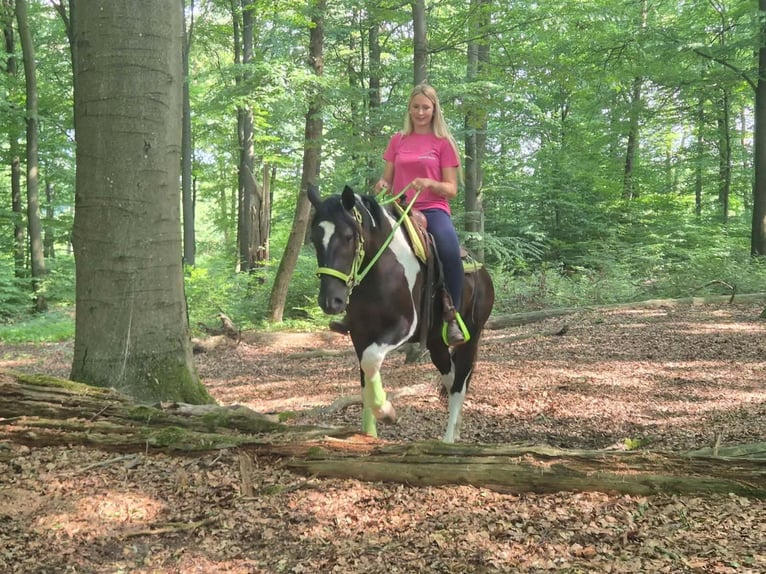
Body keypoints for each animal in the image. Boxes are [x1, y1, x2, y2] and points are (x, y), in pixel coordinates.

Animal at [307, 184, 494, 443]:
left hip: (472, 337)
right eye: (314, 239)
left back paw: (448, 440)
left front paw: (386, 412)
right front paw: (369, 434)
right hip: (436, 342)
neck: (381, 270)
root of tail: (484, 273)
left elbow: (371, 359)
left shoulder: (403, 326)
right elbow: (365, 378)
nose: (330, 301)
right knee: (450, 377)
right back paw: (455, 430)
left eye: (348, 236)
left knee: (459, 384)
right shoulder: (360, 334)